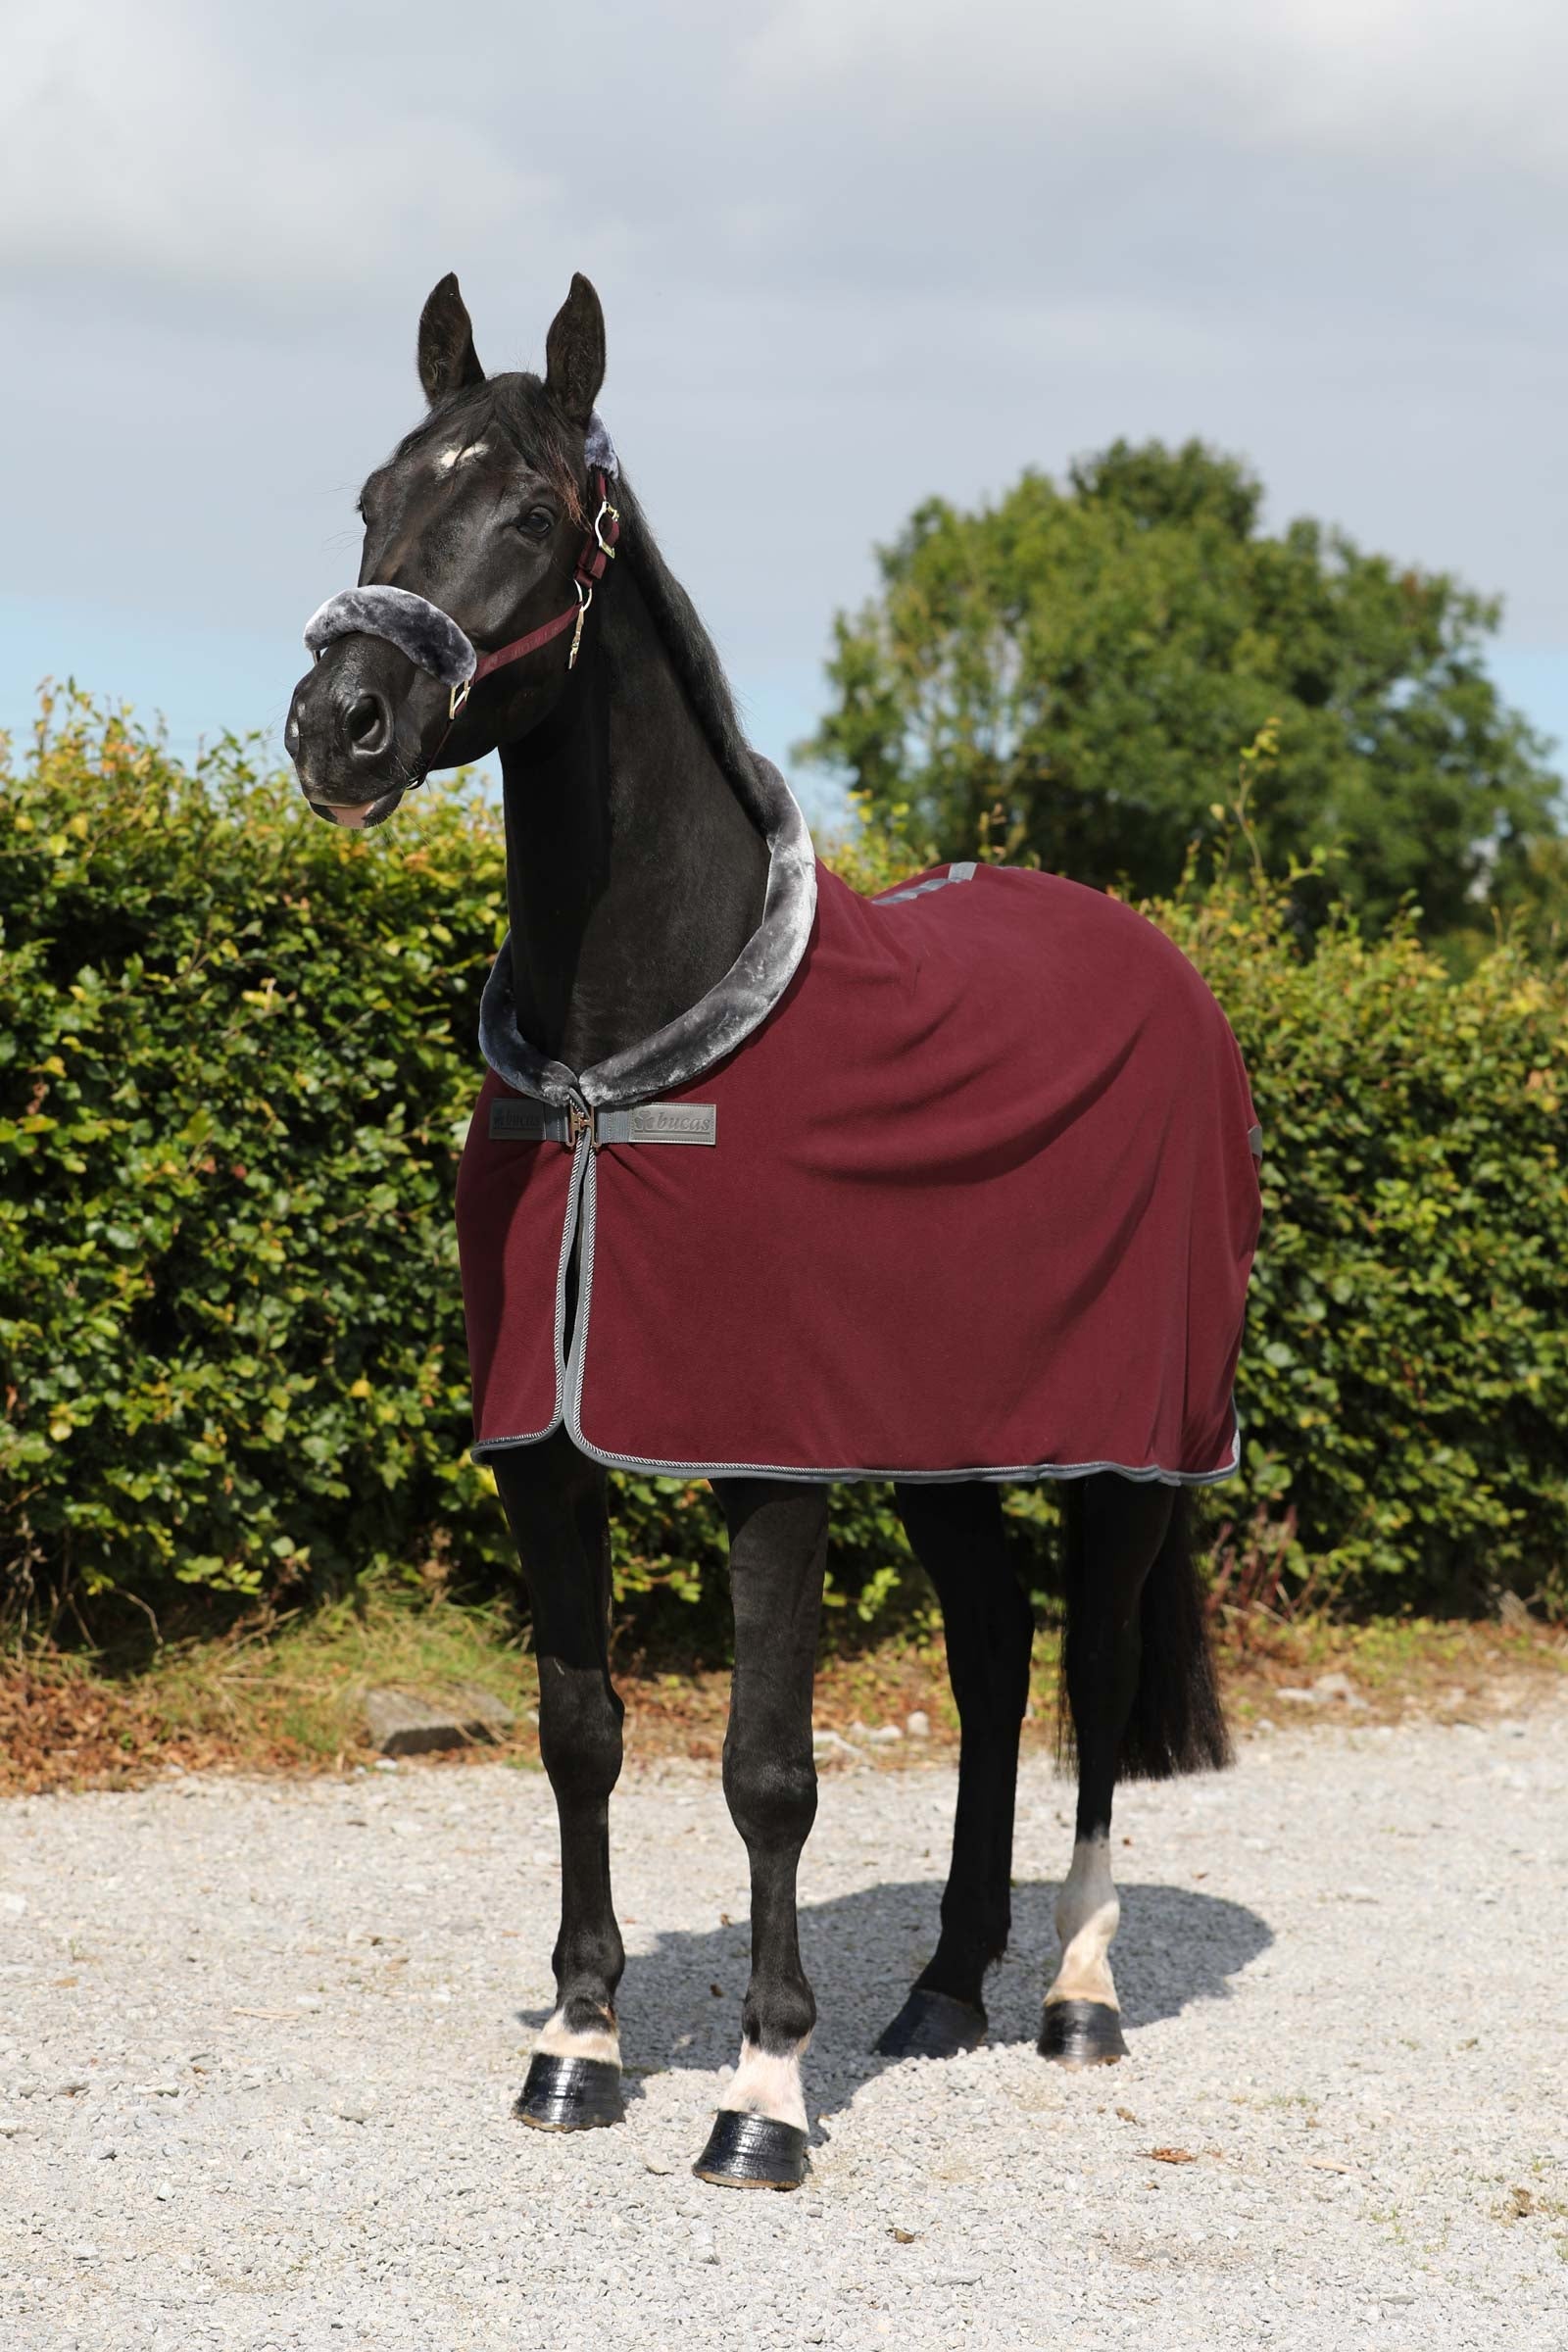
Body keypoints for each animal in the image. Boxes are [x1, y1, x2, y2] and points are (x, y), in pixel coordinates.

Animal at [286, 271, 1258, 2192]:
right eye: (374, 494)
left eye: (534, 514)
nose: (335, 724)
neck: (621, 1065)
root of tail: (1164, 970)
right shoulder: (551, 1452)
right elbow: (582, 1733)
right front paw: (580, 2047)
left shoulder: (772, 1465)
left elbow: (766, 1769)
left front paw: (761, 2096)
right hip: (950, 1442)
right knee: (991, 1656)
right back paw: (945, 1989)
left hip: (1125, 1457)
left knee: (1094, 1672)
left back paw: (1075, 1997)